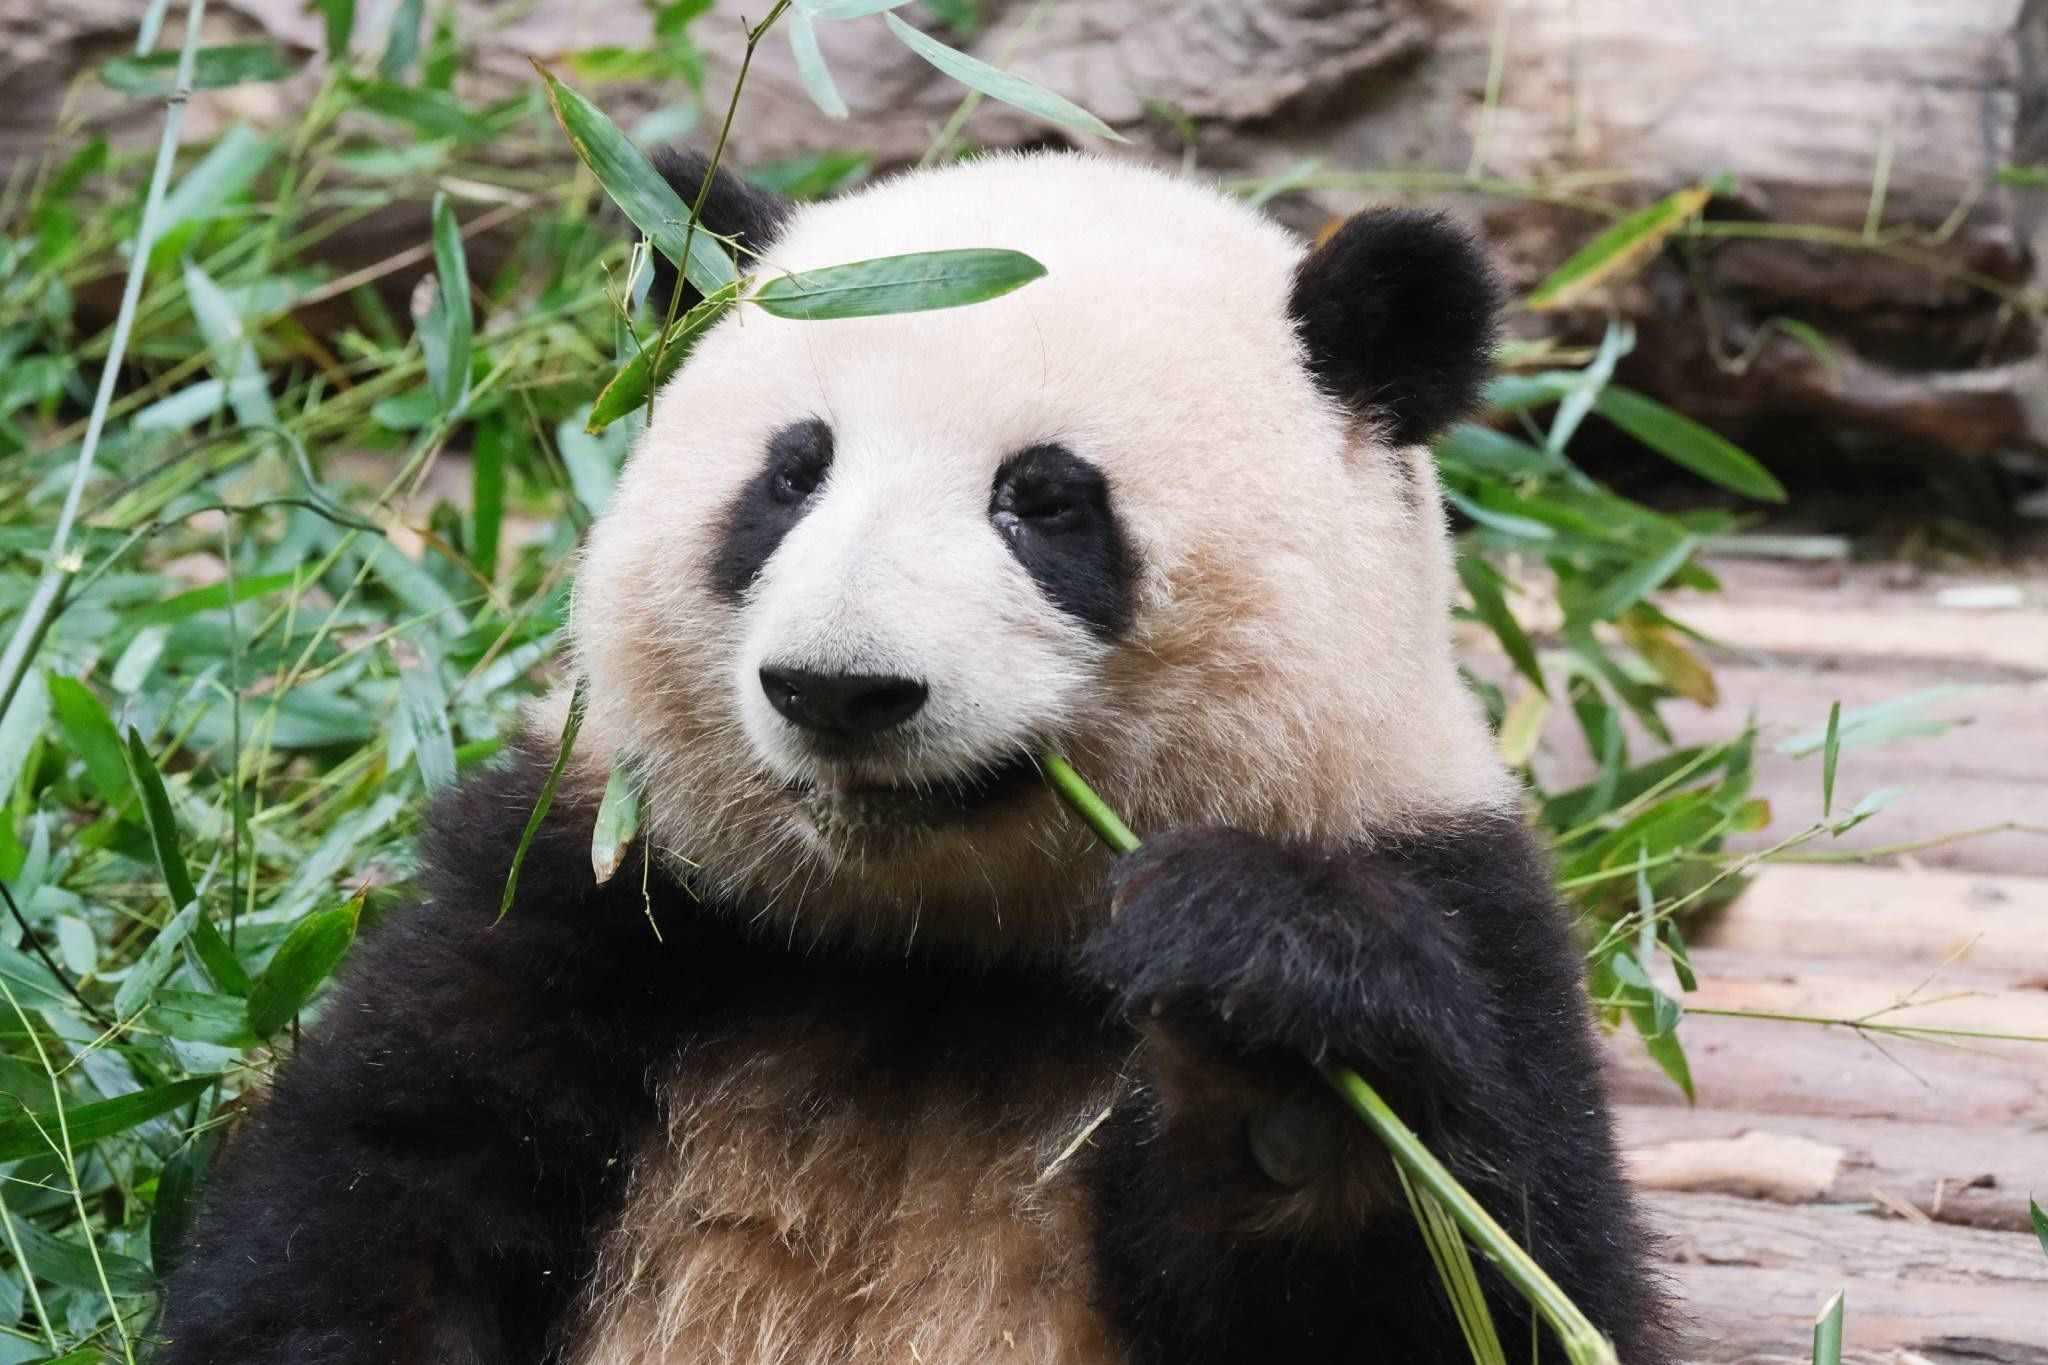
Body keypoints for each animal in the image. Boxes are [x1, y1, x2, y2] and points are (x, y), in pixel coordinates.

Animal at [154, 151, 1673, 1364]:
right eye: (791, 474)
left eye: (1046, 501)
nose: (839, 688)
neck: (936, 953)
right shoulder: (594, 886)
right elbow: (373, 1201)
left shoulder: (1455, 898)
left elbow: (1494, 1287)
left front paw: (1272, 1035)